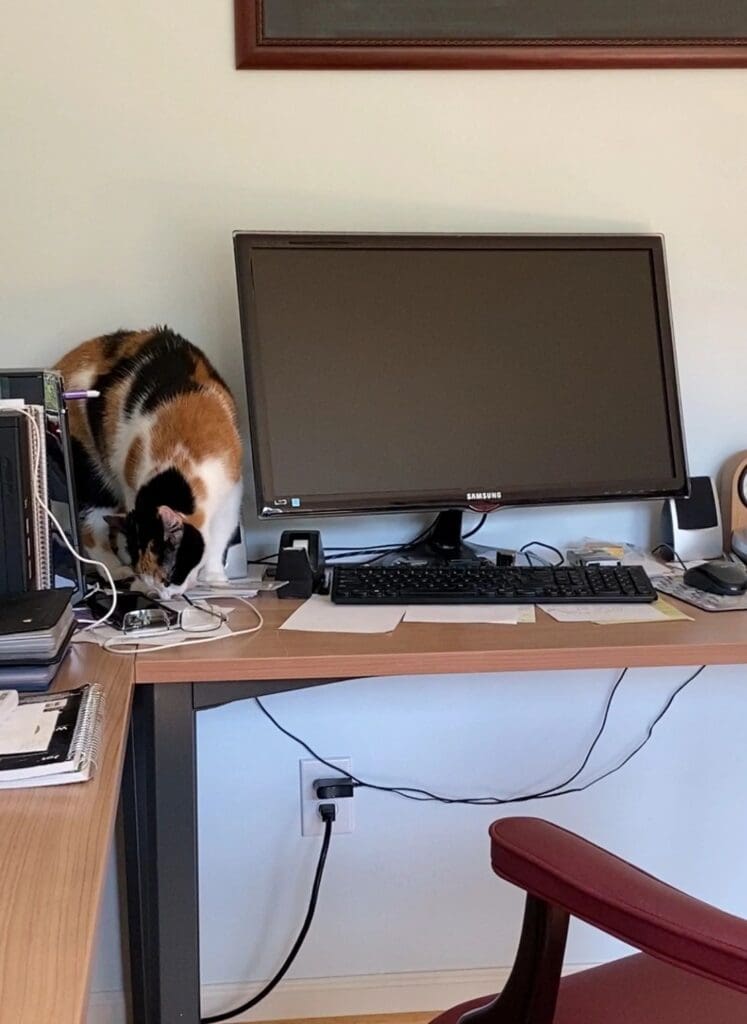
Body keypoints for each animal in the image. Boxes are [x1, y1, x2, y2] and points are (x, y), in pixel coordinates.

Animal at [55, 327, 241, 598]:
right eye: (150, 577)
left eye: (168, 577)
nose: (161, 596)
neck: (181, 453)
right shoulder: (131, 481)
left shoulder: (231, 493)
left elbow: (220, 537)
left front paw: (215, 578)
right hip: (91, 468)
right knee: (91, 527)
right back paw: (114, 569)